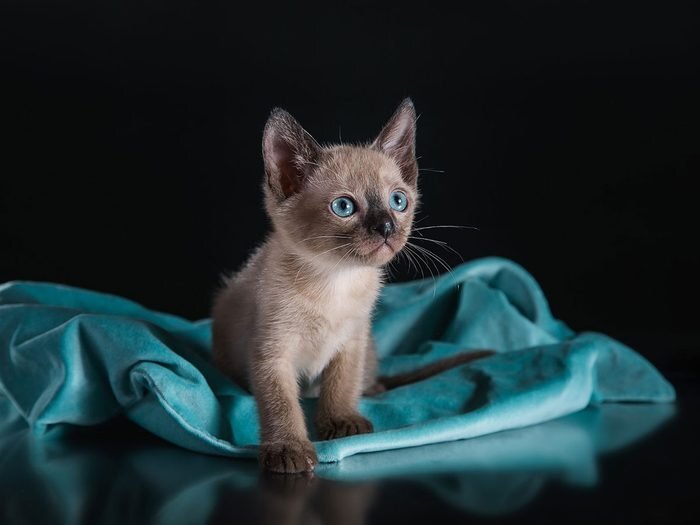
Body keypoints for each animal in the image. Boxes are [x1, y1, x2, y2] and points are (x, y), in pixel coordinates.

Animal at [211, 100, 490, 472]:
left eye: (398, 201)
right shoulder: (272, 354)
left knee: (366, 379)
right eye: (343, 207)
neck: (334, 279)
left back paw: (373, 389)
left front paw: (342, 420)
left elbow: (341, 385)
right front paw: (287, 448)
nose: (386, 227)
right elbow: (280, 403)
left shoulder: (353, 340)